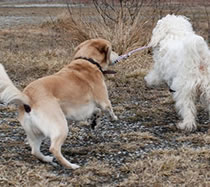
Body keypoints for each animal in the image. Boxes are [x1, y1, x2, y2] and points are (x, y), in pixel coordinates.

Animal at [0, 38, 118, 169]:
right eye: (112, 49)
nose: (118, 55)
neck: (87, 60)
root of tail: (27, 98)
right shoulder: (103, 101)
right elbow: (108, 108)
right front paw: (114, 118)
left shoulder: (82, 110)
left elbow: (96, 111)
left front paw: (95, 121)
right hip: (61, 127)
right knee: (54, 148)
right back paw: (71, 165)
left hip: (35, 133)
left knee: (35, 151)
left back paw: (46, 159)